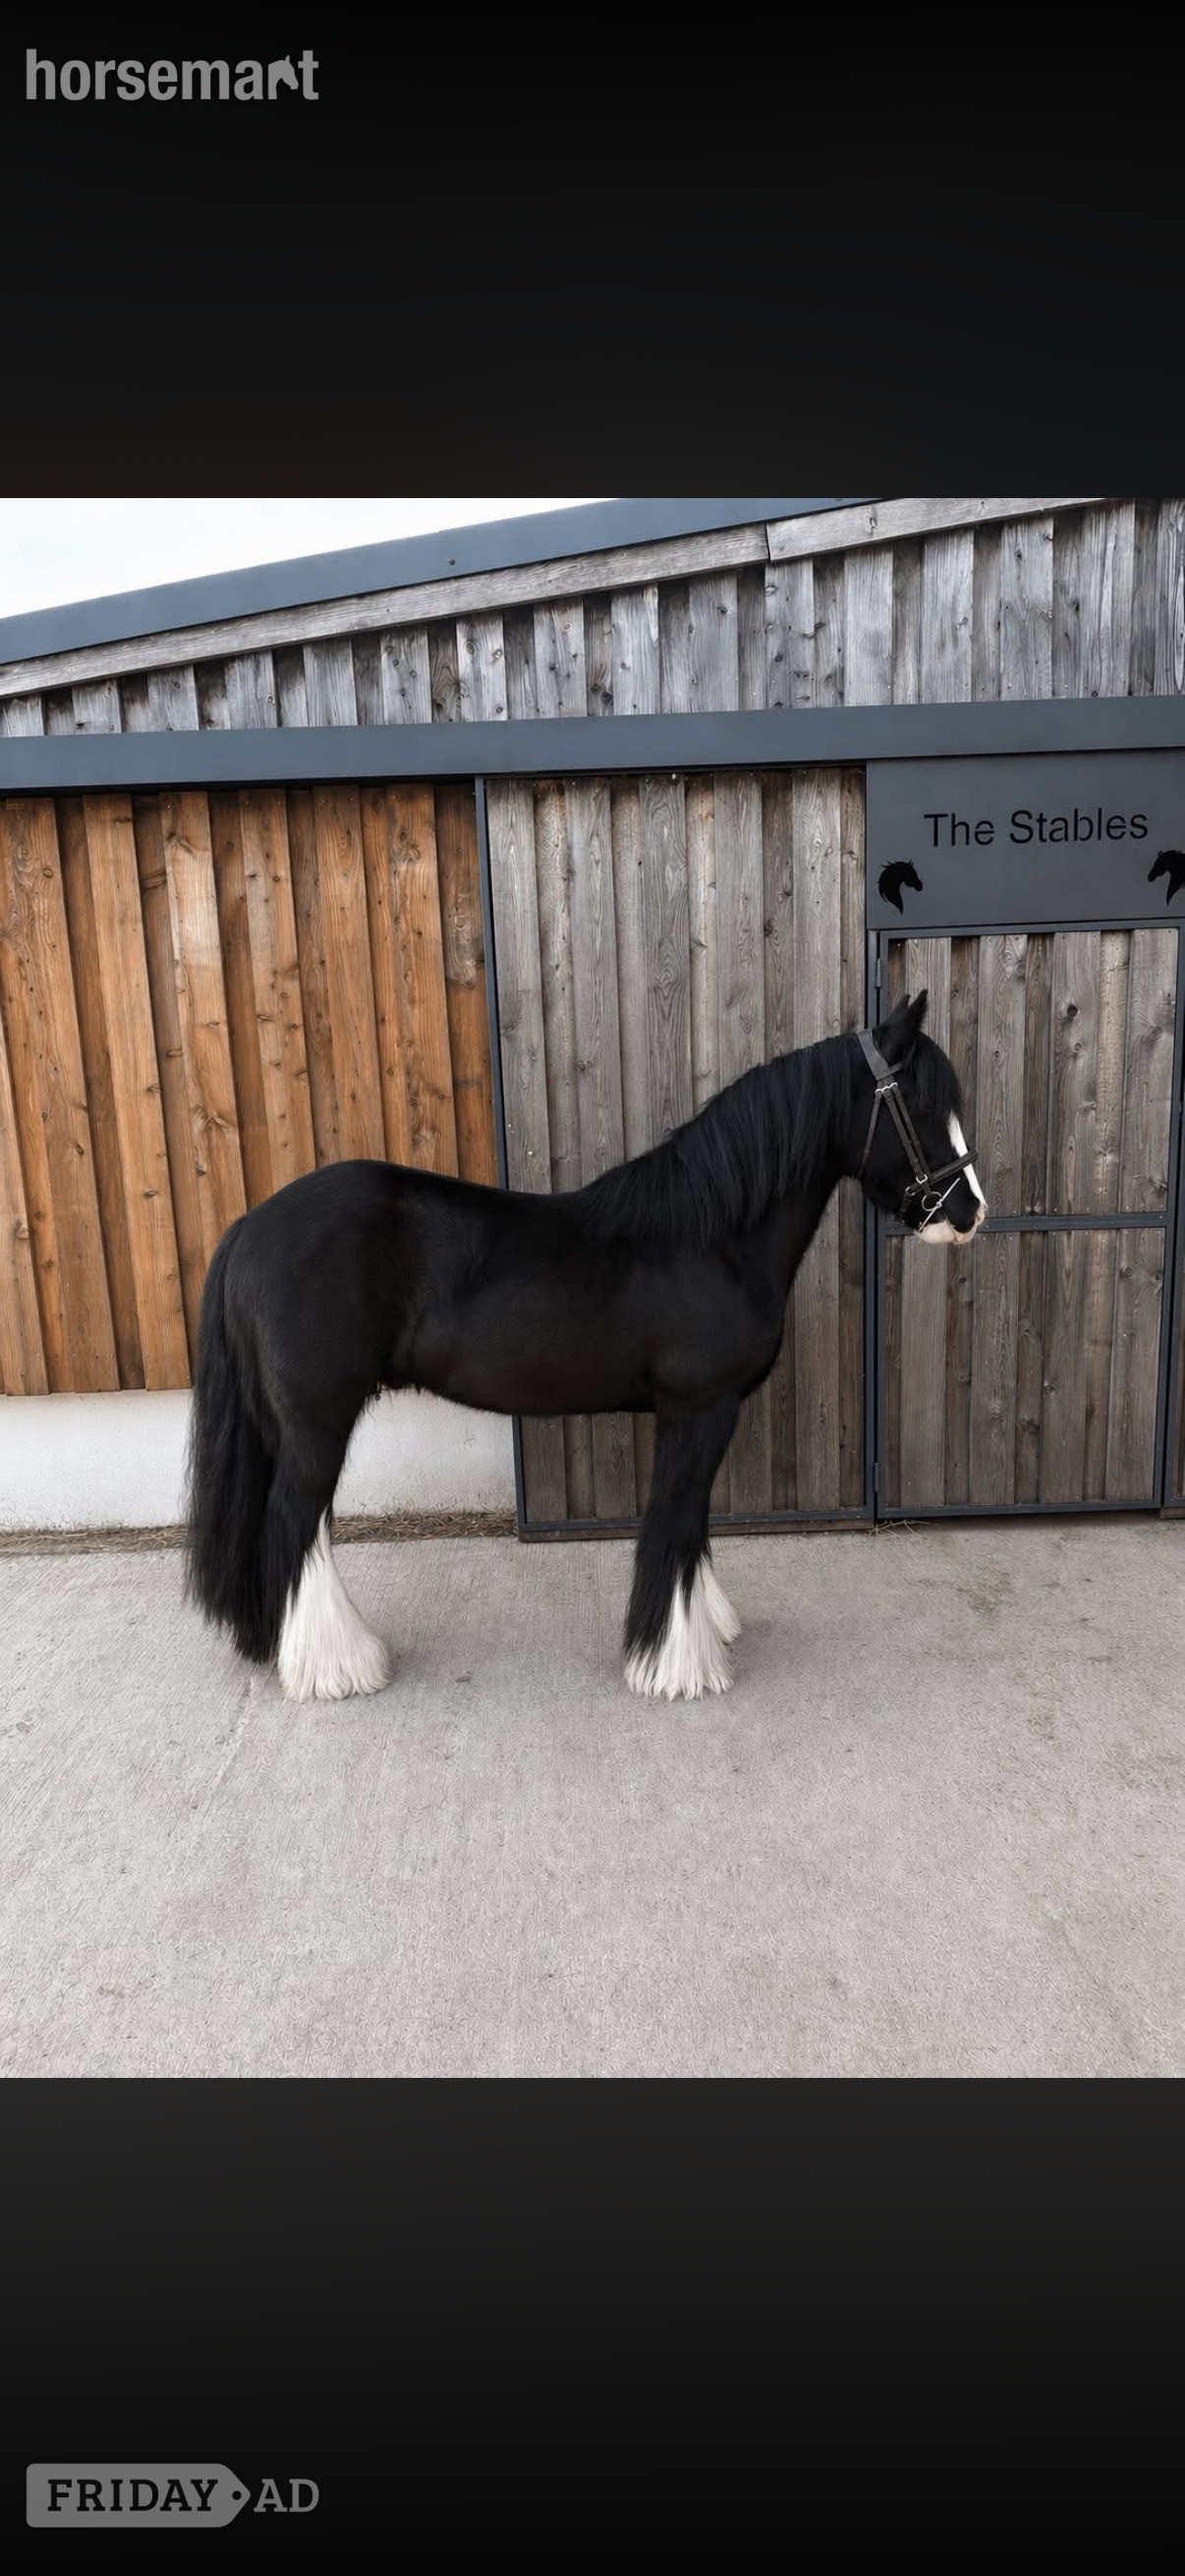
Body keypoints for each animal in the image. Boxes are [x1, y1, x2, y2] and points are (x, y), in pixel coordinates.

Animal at [185, 987, 986, 1705]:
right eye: (919, 1107)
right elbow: (675, 1517)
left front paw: (704, 1629)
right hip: (319, 1418)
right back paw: (338, 1668)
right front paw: (675, 1665)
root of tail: (249, 1225)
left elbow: (693, 1521)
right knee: (297, 1521)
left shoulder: (702, 1414)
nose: (970, 1213)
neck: (711, 1236)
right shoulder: (700, 1408)